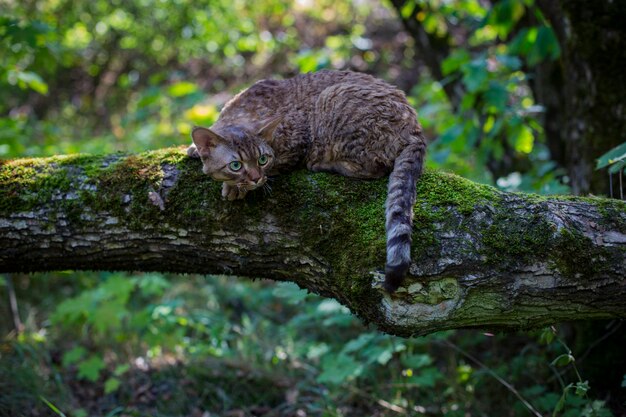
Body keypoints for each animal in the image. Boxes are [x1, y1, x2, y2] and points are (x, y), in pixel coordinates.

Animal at [188, 70, 426, 290]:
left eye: (263, 160)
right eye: (236, 165)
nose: (255, 178)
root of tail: (415, 130)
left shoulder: (296, 138)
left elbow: (278, 166)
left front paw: (236, 187)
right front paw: (194, 149)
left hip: (332, 98)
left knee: (374, 168)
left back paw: (324, 164)